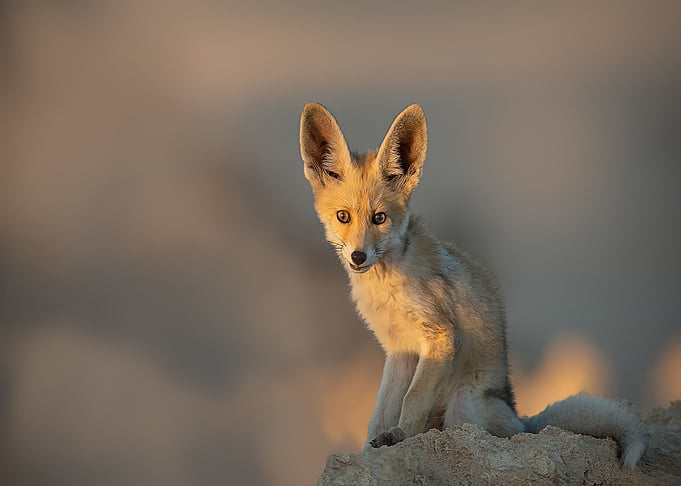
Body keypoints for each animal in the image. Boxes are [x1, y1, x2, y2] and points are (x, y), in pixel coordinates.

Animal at [299, 102, 648, 467]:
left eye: (379, 218)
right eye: (343, 216)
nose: (358, 256)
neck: (387, 286)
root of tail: (520, 417)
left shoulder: (440, 336)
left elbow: (412, 399)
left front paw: (401, 435)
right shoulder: (399, 351)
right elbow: (380, 411)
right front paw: (370, 449)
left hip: (464, 407)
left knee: (498, 434)